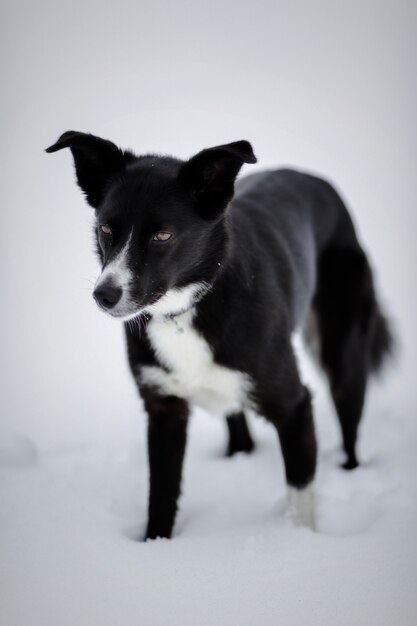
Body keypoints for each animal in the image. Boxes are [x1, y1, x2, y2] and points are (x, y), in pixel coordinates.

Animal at [47, 130, 392, 536]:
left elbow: (300, 497)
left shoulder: (294, 407)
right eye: (105, 229)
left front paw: (300, 540)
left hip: (343, 353)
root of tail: (316, 180)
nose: (104, 295)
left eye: (163, 235)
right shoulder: (163, 408)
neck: (184, 310)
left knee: (350, 424)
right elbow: (161, 494)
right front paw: (156, 542)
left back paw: (350, 468)